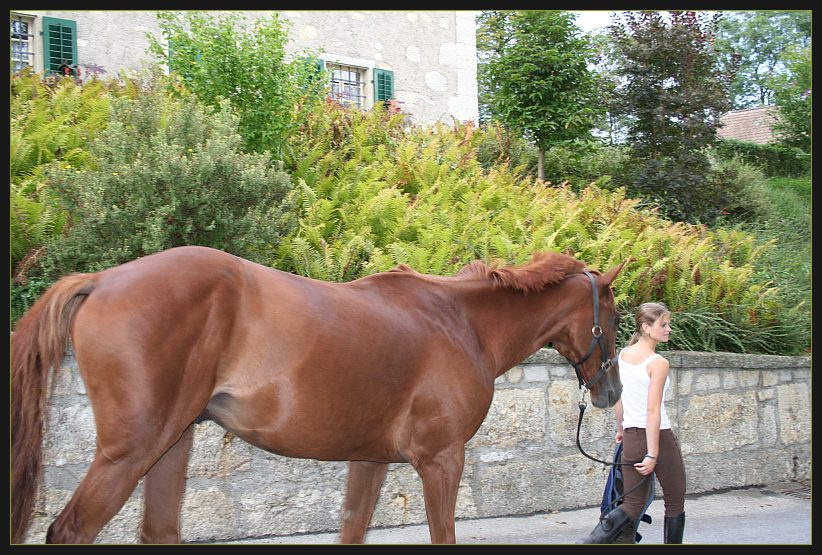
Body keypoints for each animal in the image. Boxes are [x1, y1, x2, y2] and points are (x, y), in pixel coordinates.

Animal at [11, 245, 627, 544]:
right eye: (616, 318)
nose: (611, 391)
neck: (460, 324)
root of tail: (101, 279)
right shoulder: (441, 461)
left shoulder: (371, 461)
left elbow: (351, 530)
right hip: (131, 452)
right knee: (72, 530)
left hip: (170, 445)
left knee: (159, 531)